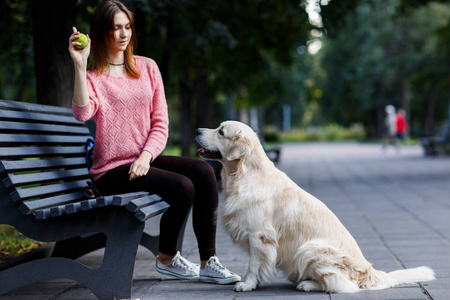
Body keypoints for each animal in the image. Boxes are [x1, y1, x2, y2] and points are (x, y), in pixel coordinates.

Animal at [195, 120, 434, 292]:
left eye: (221, 132)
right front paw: (247, 281)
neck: (244, 174)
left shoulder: (260, 236)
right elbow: (252, 264)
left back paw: (307, 284)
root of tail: (369, 271)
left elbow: (254, 264)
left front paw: (247, 285)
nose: (197, 129)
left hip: (309, 248)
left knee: (342, 285)